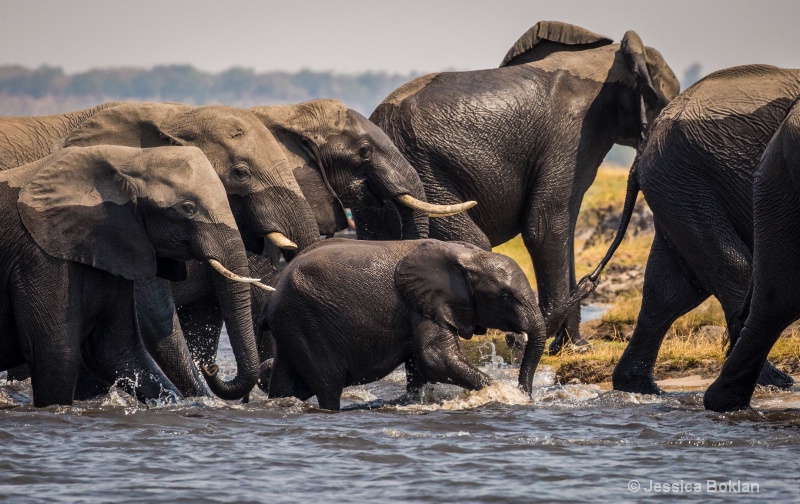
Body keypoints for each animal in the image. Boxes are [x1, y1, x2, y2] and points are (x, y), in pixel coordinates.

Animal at [262, 239, 552, 410]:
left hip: (293, 325)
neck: (467, 256)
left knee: (286, 383)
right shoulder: (421, 305)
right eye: (505, 297)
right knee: (328, 384)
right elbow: (435, 357)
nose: (527, 397)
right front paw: (501, 393)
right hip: (304, 319)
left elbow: (421, 365)